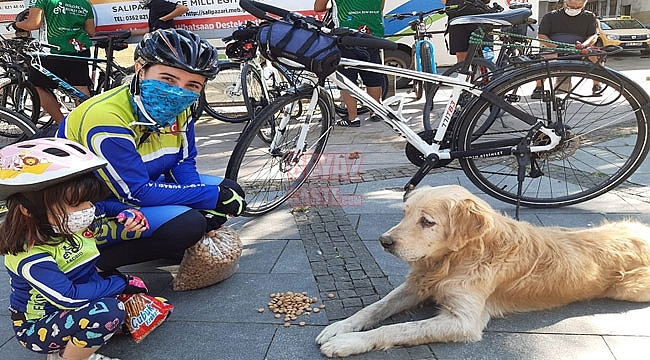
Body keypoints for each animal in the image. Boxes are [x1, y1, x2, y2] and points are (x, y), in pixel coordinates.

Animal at [314, 186, 648, 358]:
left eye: (427, 221)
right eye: (405, 214)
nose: (384, 241)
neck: (455, 259)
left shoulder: (463, 321)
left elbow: (397, 329)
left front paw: (348, 343)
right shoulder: (416, 286)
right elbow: (374, 308)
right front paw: (340, 327)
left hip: (630, 290)